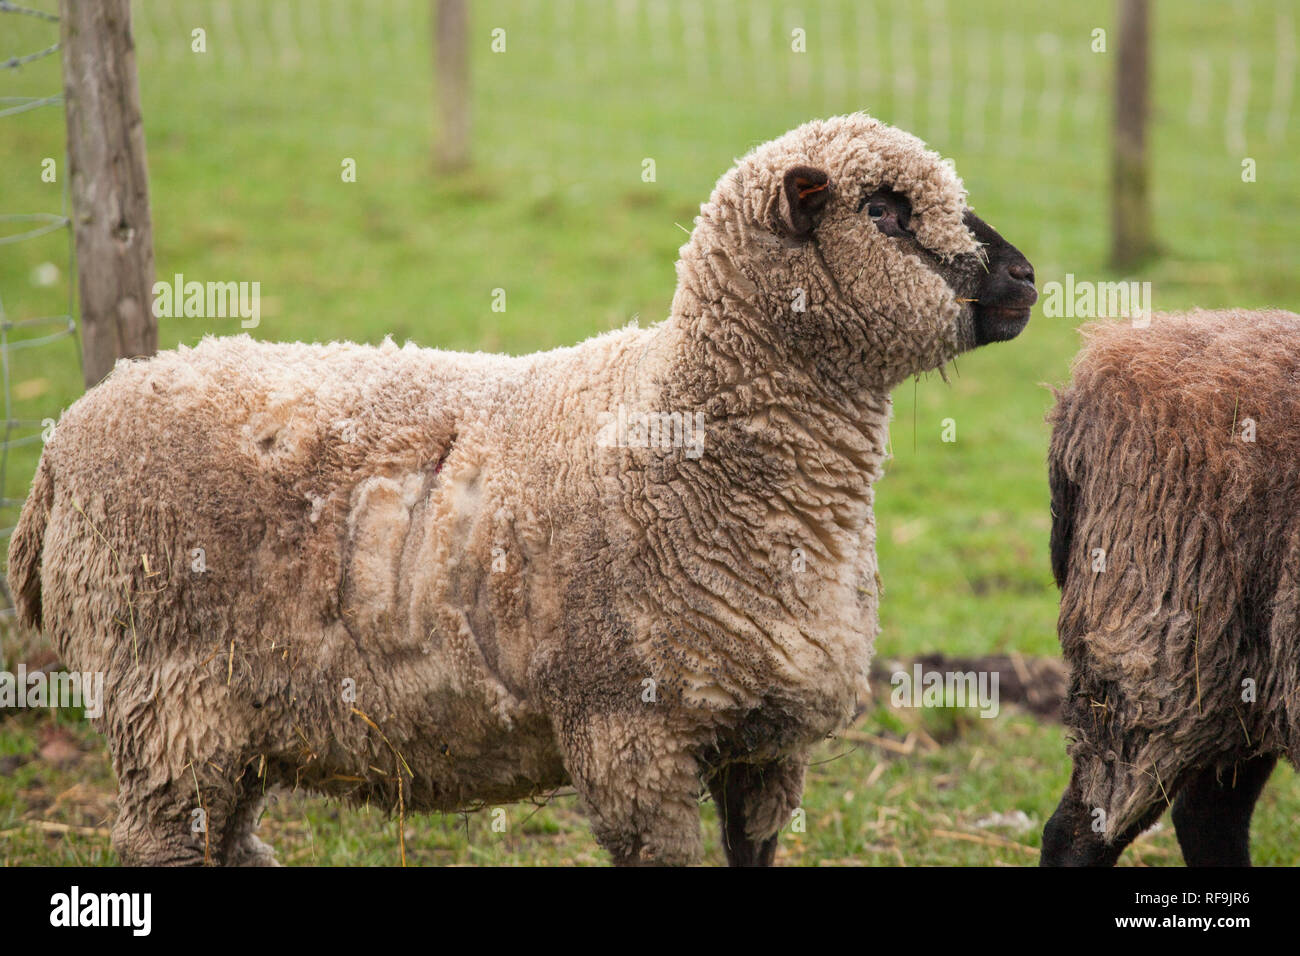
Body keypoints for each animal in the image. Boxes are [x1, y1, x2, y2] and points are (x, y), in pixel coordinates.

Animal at [10, 113, 1037, 866]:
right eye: (887, 211)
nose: (1028, 279)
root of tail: (68, 435)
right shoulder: (626, 732)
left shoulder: (767, 744)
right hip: (164, 707)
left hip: (235, 720)